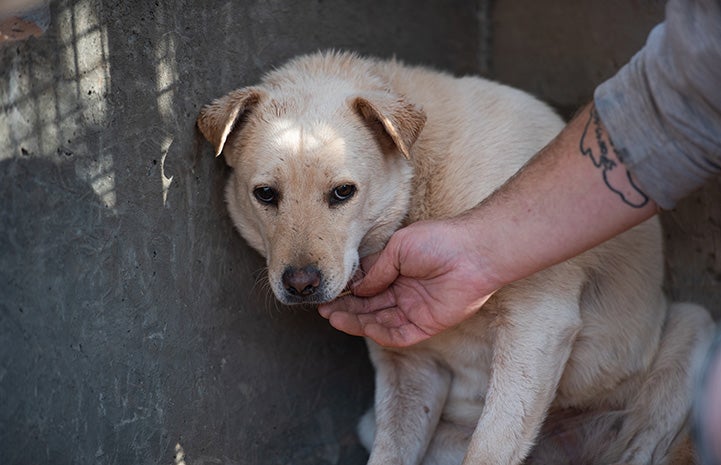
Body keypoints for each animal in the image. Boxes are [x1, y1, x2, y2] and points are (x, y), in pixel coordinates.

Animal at [195, 51, 708, 464]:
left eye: (343, 192)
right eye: (265, 194)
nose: (301, 284)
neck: (416, 191)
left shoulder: (538, 323)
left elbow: (491, 447)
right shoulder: (409, 372)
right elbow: (391, 453)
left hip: (691, 332)